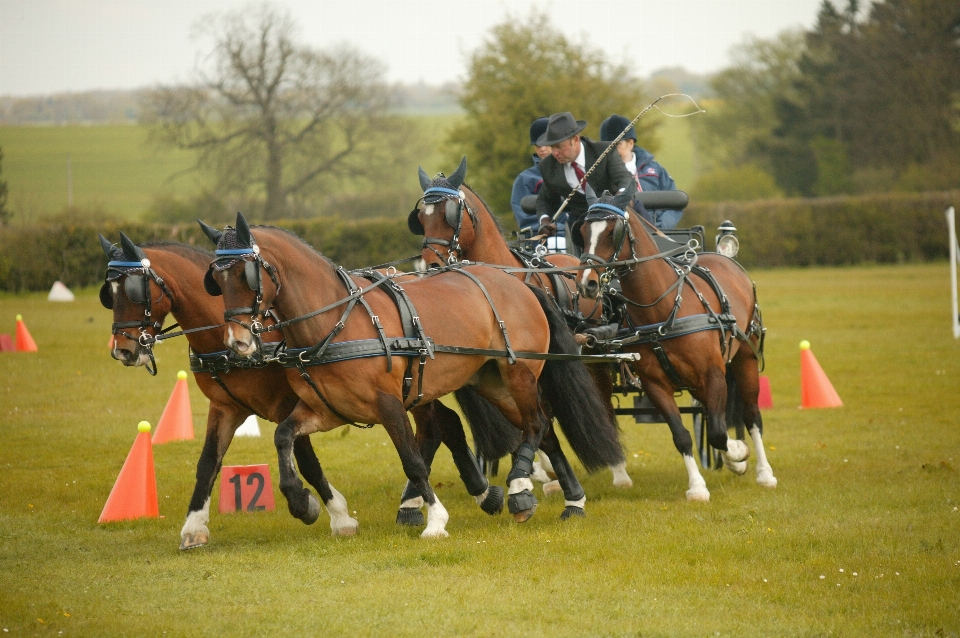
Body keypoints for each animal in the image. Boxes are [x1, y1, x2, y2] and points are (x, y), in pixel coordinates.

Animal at [100, 235, 510, 552]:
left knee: (436, 428)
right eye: (109, 293)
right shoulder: (225, 408)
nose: (123, 350)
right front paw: (194, 528)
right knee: (447, 424)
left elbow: (307, 461)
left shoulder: (289, 403)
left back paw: (463, 495)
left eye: (133, 291)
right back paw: (463, 494)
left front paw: (330, 513)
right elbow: (207, 464)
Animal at [202, 214, 624, 536]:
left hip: (517, 371)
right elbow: (283, 437)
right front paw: (300, 501)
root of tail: (517, 282)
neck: (335, 321)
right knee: (545, 429)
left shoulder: (389, 405)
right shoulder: (325, 411)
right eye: (216, 281)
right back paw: (572, 500)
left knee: (536, 423)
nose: (238, 341)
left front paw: (435, 520)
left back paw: (520, 487)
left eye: (247, 275)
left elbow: (413, 460)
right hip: (493, 383)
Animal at [408, 160, 632, 490]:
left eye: (450, 215)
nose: (431, 265)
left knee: (600, 401)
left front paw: (532, 475)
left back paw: (616, 469)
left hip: (592, 357)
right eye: (422, 218)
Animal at [572, 195, 776, 500]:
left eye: (612, 233)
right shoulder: (655, 384)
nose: (587, 283)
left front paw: (738, 455)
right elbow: (681, 435)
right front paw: (698, 486)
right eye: (583, 233)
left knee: (751, 415)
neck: (663, 308)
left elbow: (718, 432)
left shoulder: (712, 372)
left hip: (745, 358)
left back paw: (764, 472)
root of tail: (724, 258)